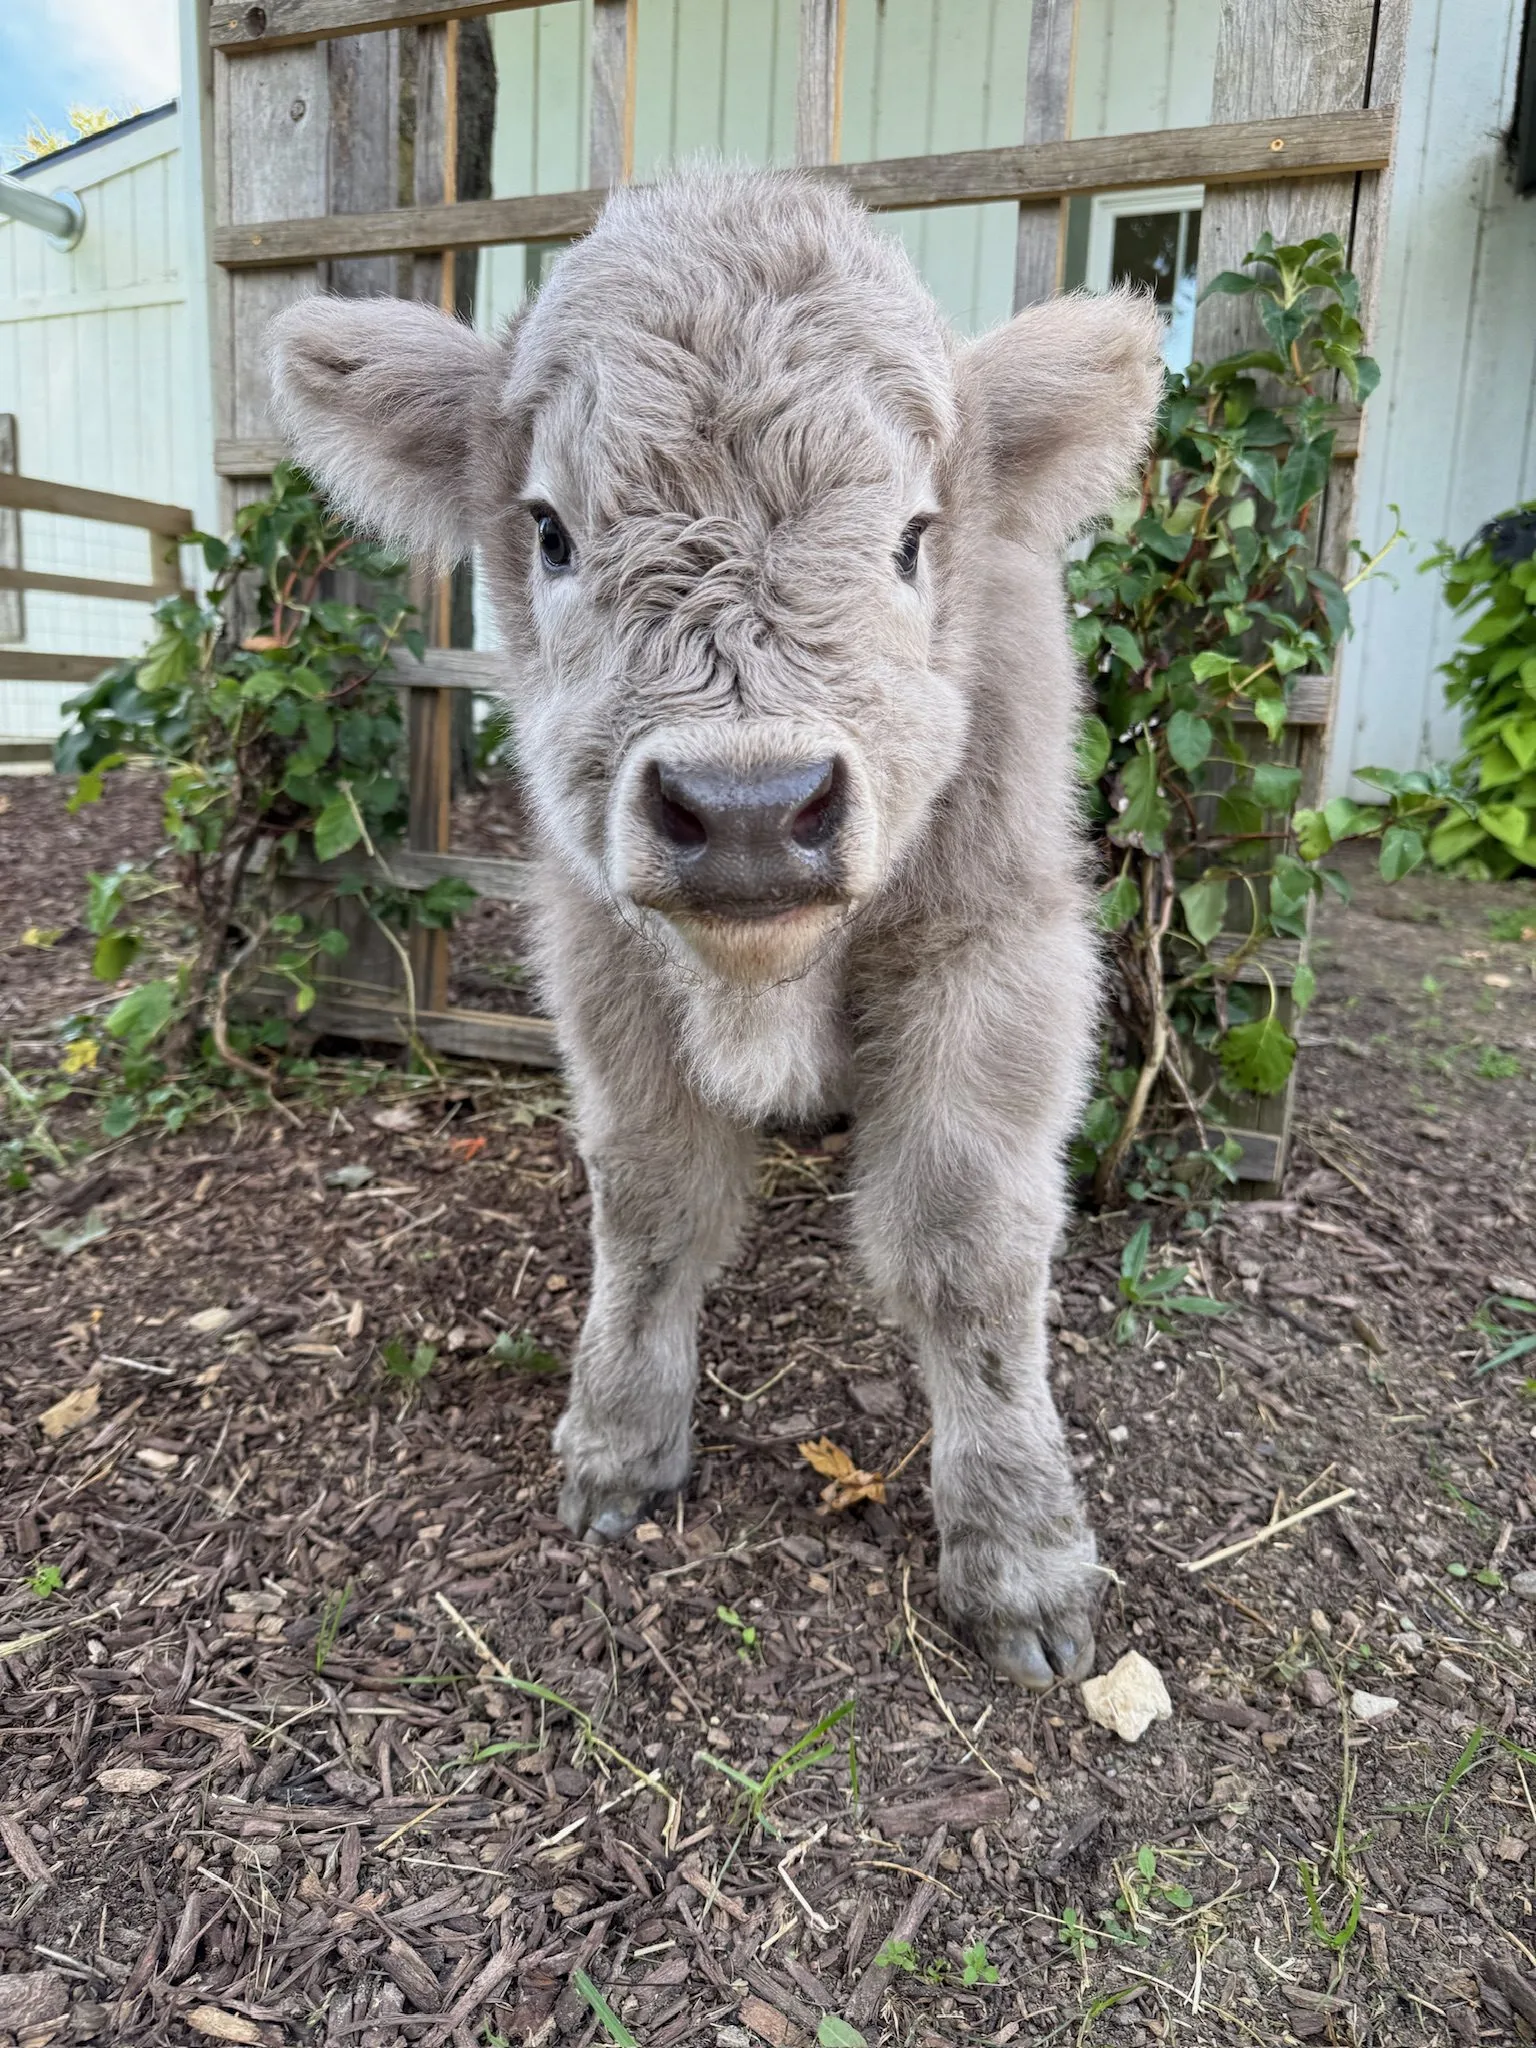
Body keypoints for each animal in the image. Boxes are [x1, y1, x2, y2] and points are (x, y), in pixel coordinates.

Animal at [267, 166, 1162, 1688]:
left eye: (911, 536)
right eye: (552, 529)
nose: (749, 808)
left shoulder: (996, 950)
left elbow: (971, 1246)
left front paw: (1022, 1554)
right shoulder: (605, 959)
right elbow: (650, 1206)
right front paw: (620, 1443)